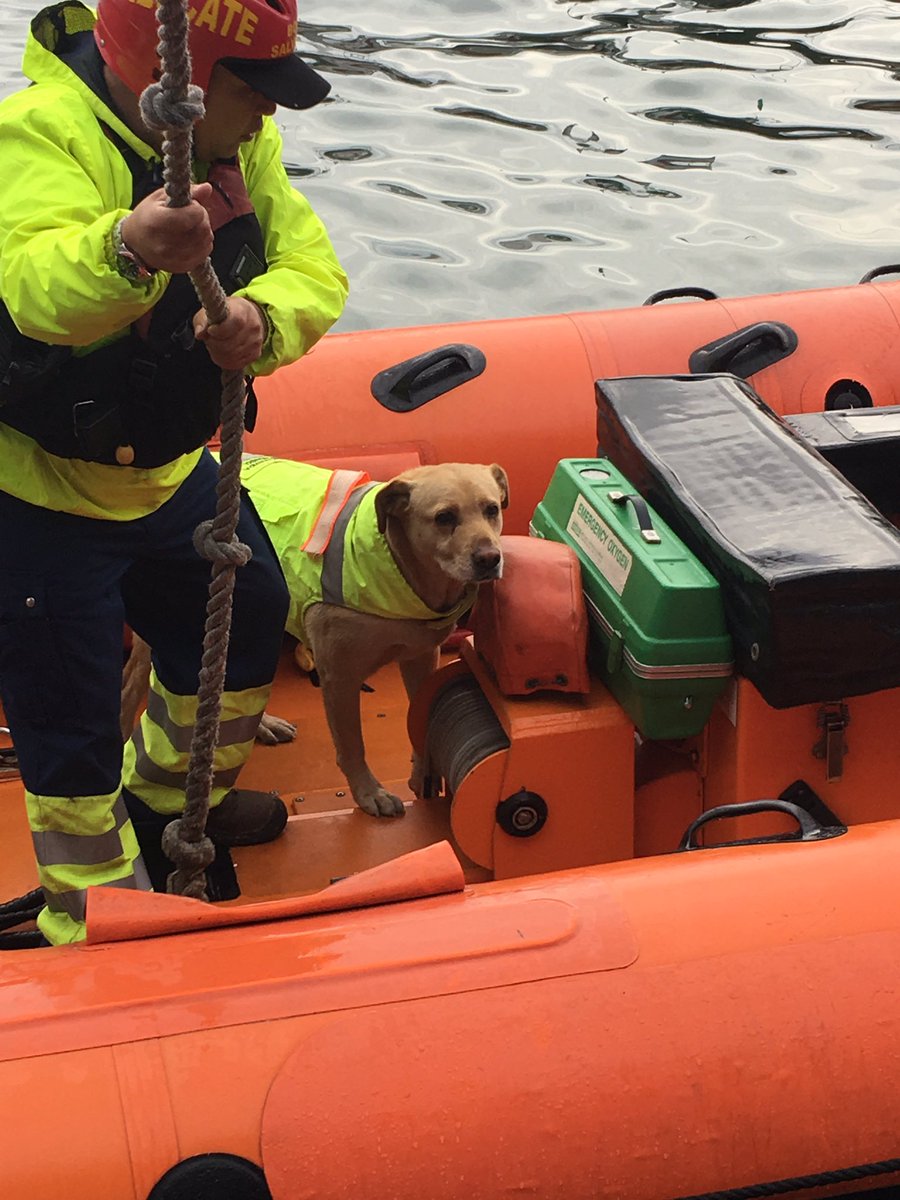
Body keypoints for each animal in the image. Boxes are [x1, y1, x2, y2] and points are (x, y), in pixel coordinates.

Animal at [121, 458, 509, 818]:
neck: (399, 564)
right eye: (444, 517)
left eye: (492, 509)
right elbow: (352, 745)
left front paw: (422, 776)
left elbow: (422, 720)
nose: (490, 558)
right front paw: (369, 793)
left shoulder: (421, 658)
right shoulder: (339, 677)